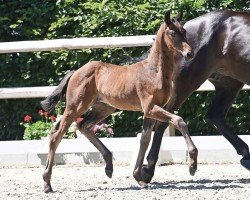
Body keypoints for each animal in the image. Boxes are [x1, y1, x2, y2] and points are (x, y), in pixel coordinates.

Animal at [41, 10, 197, 192]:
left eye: (184, 31)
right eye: (172, 32)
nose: (190, 54)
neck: (154, 72)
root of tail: (75, 71)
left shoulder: (151, 111)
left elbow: (144, 140)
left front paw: (138, 177)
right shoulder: (151, 108)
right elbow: (179, 121)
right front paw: (192, 165)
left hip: (104, 108)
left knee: (84, 126)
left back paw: (109, 165)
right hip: (75, 107)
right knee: (56, 135)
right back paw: (47, 184)